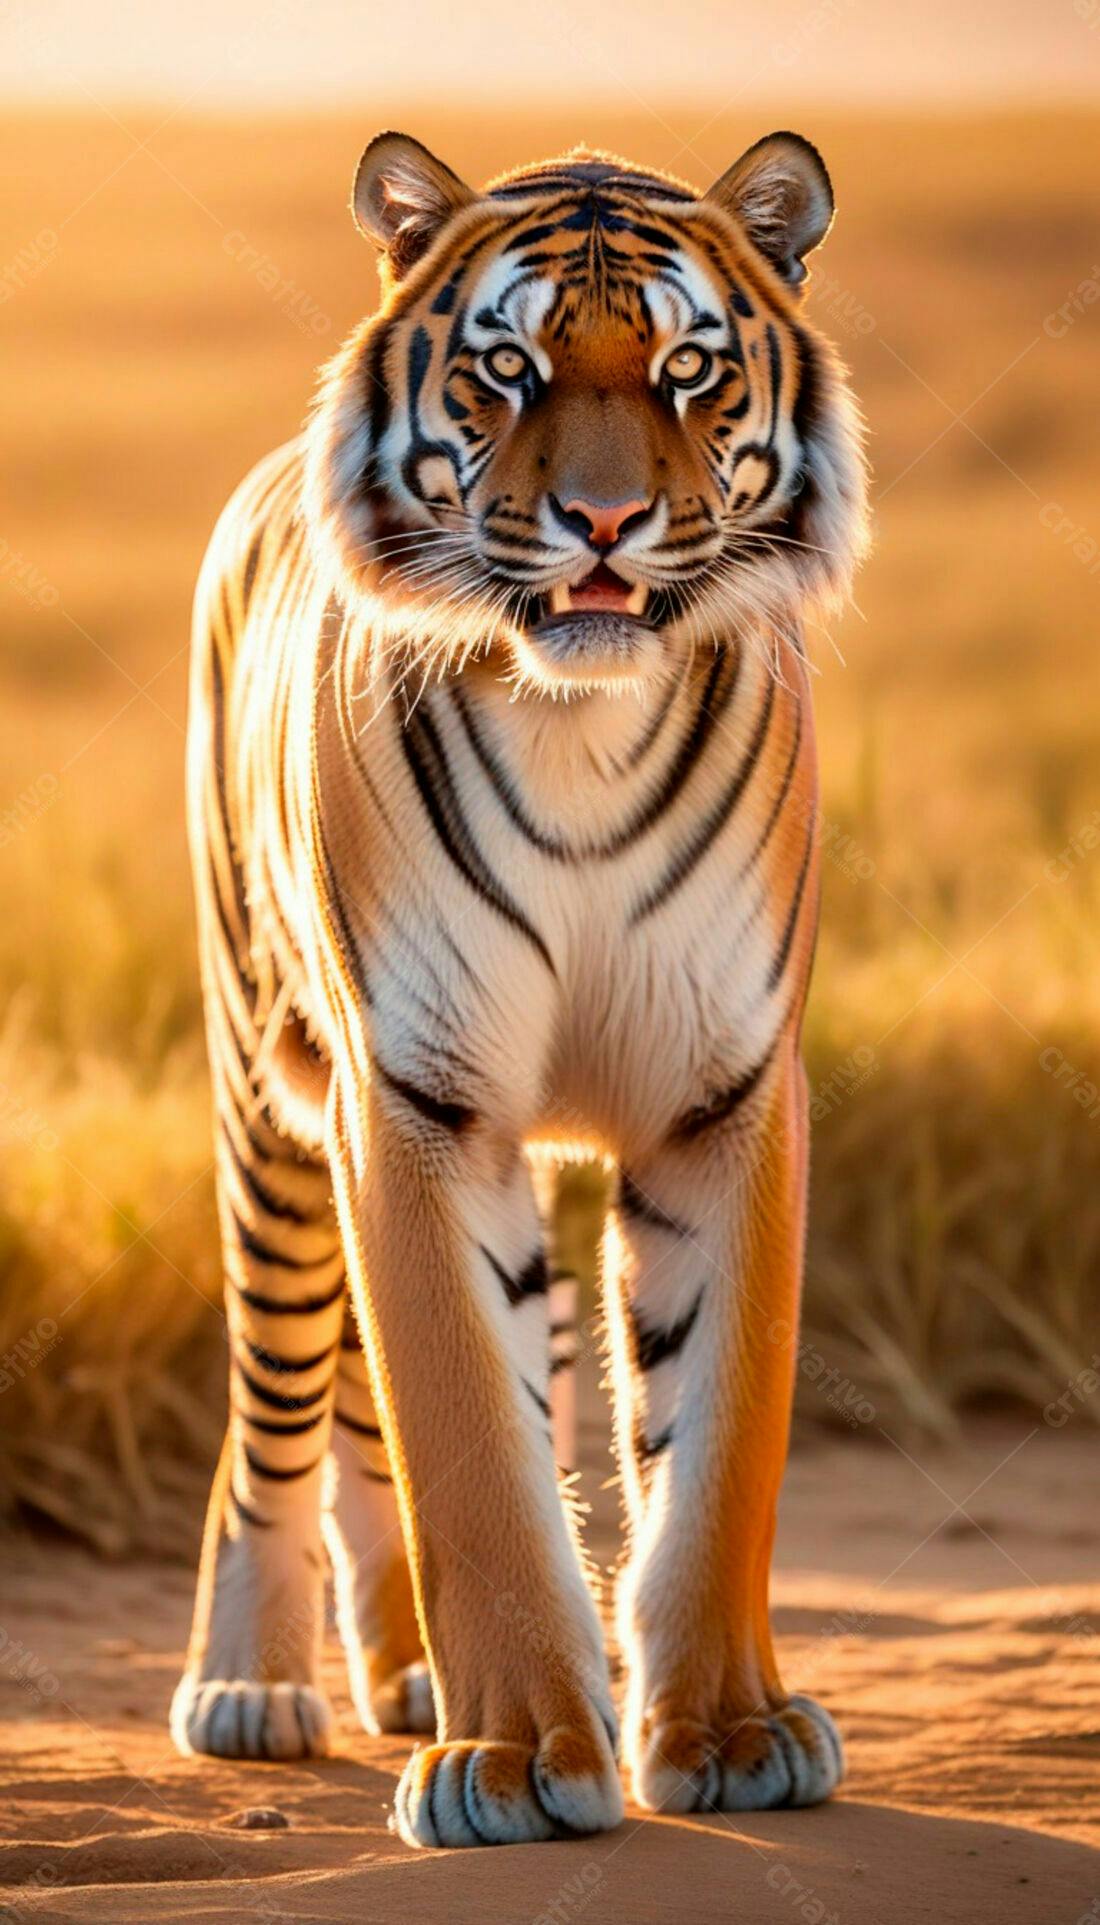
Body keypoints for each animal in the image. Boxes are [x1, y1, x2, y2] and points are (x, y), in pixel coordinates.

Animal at [170, 127, 869, 1850]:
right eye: (508, 368)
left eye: (690, 369)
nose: (603, 523)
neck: (581, 725)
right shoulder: (411, 1100)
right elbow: (470, 1455)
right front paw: (512, 1760)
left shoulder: (724, 1091)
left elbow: (717, 1445)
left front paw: (732, 1731)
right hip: (267, 1106)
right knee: (279, 1413)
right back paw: (254, 1686)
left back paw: (412, 1672)